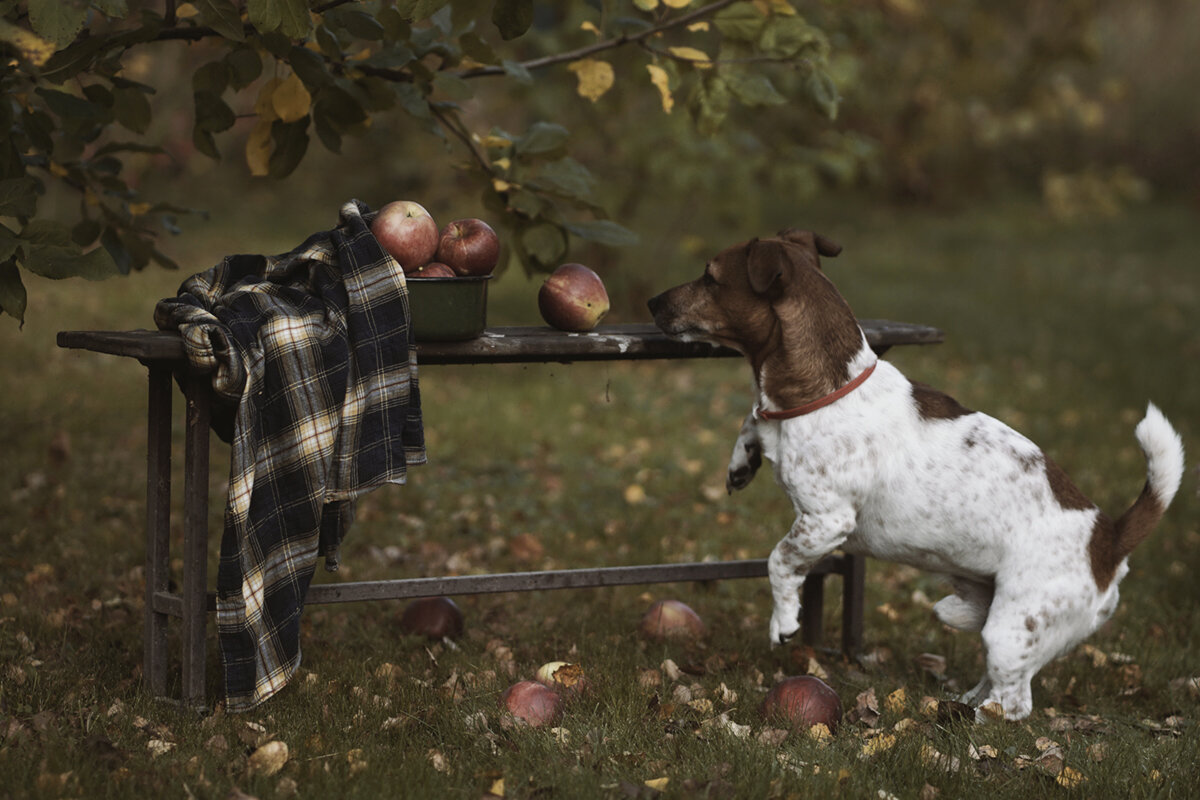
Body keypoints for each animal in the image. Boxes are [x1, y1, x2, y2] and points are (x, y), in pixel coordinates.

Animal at [648, 227, 1180, 724]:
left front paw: (783, 619)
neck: (824, 390)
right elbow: (751, 420)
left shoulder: (825, 521)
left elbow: (779, 561)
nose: (651, 301)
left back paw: (966, 721)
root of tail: (1109, 537)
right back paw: (962, 700)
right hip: (993, 610)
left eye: (710, 277)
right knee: (994, 679)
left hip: (1012, 627)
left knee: (1014, 703)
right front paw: (742, 462)